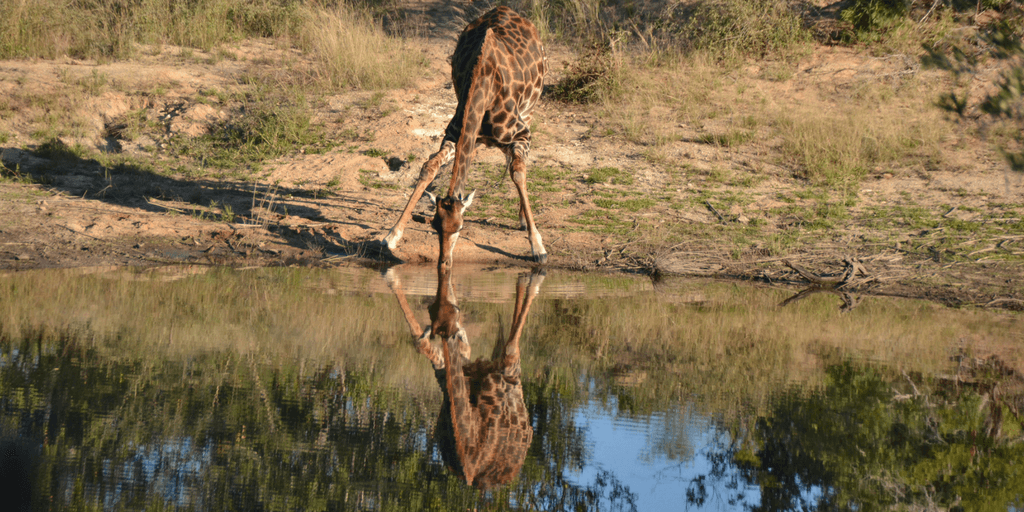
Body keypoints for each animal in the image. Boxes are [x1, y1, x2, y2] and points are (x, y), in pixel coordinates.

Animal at [380, 7, 548, 264]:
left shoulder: (521, 134)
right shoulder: (453, 135)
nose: (444, 262)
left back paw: (522, 221)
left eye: (460, 228)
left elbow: (518, 172)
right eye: (434, 226)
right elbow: (429, 167)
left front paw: (538, 246)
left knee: (517, 163)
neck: (484, 87)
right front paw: (392, 235)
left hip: (530, 108)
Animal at [385, 264, 544, 487]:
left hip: (513, 376)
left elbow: (511, 348)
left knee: (512, 343)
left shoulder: (506, 369)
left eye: (452, 312)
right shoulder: (445, 370)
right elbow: (424, 345)